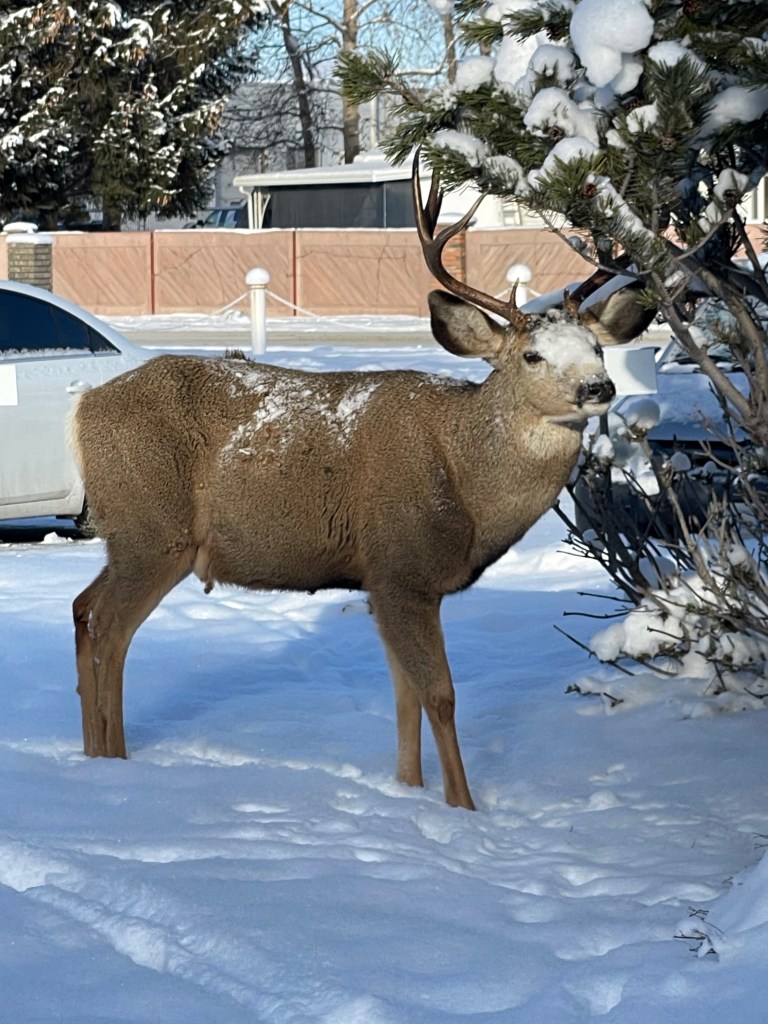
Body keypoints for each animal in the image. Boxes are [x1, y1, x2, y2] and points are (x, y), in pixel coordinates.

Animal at [71, 159, 615, 811]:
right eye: (532, 355)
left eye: (598, 347)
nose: (598, 387)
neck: (465, 483)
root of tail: (82, 409)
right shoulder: (402, 566)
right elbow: (440, 696)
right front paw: (463, 809)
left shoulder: (381, 581)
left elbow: (405, 697)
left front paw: (406, 788)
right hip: (152, 529)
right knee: (109, 631)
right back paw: (113, 765)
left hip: (128, 535)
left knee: (82, 609)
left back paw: (93, 755)